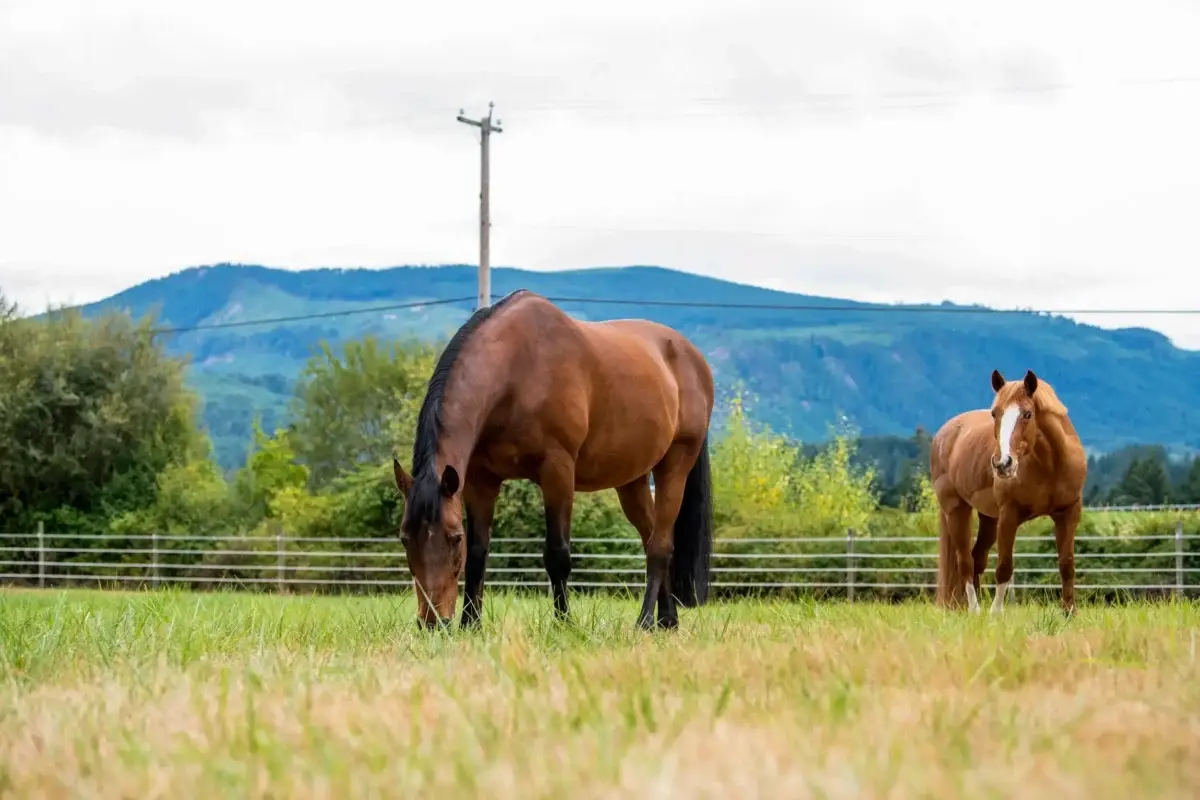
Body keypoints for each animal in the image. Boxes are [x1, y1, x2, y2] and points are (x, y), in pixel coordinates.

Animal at [390, 288, 716, 631]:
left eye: (454, 539)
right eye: (404, 539)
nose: (432, 622)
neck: (517, 372)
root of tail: (691, 356)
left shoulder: (557, 471)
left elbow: (557, 554)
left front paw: (563, 624)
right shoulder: (480, 481)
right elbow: (478, 554)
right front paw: (471, 624)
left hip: (675, 465)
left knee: (660, 545)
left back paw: (644, 621)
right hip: (632, 481)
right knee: (651, 536)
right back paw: (666, 619)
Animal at [930, 369, 1087, 616]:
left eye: (1028, 414)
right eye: (995, 413)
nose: (1002, 463)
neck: (1050, 466)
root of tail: (942, 435)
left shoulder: (1068, 513)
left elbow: (1067, 564)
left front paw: (1069, 612)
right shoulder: (1009, 516)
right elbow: (1004, 566)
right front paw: (996, 613)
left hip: (988, 519)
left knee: (977, 559)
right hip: (956, 510)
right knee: (965, 562)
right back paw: (975, 610)